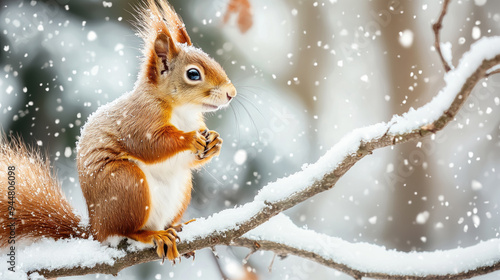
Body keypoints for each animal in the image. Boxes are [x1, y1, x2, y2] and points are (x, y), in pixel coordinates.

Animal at [0, 0, 236, 262]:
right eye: (193, 74)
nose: (231, 93)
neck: (182, 110)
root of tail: (94, 230)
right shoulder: (138, 120)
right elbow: (150, 145)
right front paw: (188, 138)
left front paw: (215, 142)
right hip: (126, 184)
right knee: (126, 230)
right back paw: (153, 235)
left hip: (181, 188)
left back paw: (176, 227)